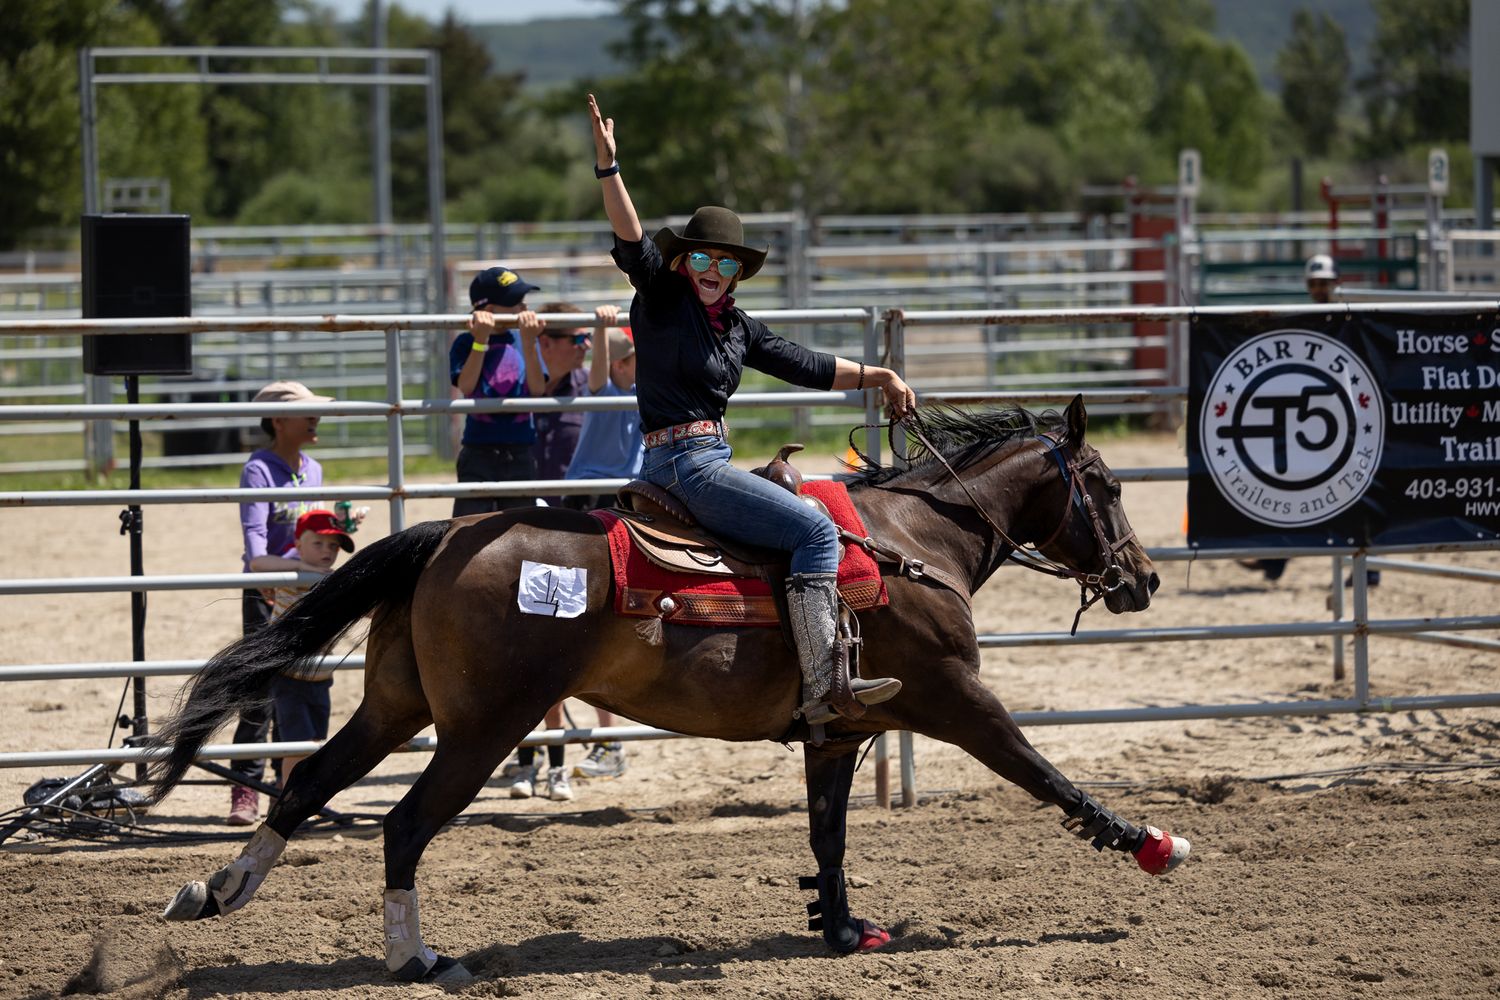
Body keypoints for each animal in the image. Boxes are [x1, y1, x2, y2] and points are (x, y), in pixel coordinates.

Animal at [147, 396, 1187, 983]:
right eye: (1105, 484)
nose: (1143, 579)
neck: (914, 545)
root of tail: (445, 536)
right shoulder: (956, 699)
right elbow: (1046, 774)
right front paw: (1151, 845)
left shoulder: (835, 732)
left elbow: (828, 833)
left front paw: (842, 927)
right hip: (482, 729)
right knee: (402, 826)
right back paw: (415, 958)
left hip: (395, 708)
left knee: (305, 786)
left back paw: (217, 890)